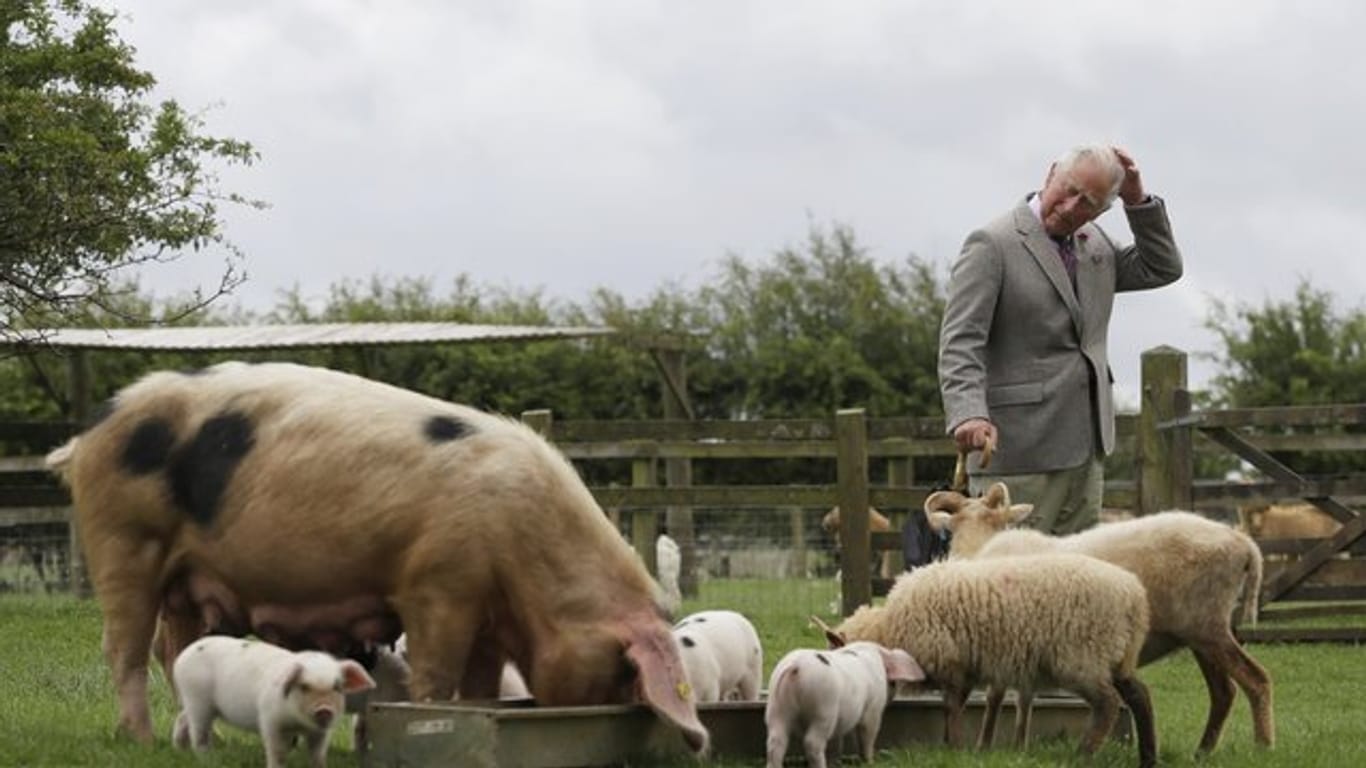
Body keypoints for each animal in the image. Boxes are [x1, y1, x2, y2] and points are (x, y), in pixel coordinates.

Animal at [42, 358, 704, 748]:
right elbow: (438, 674)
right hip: (122, 541)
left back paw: (204, 744)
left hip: (186, 574)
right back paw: (140, 740)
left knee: (173, 649)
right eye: (624, 669)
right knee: (125, 648)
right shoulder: (437, 584)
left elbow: (480, 681)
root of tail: (88, 435)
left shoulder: (486, 611)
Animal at [764, 636, 923, 765]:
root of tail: (795, 666)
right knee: (812, 743)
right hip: (823, 709)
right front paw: (870, 761)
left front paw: (837, 761)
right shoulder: (873, 708)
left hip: (776, 707)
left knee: (775, 743)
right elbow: (868, 731)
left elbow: (838, 741)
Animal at [814, 549, 1158, 765]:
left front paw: (954, 748)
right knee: (1139, 695)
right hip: (1115, 655)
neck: (889, 628)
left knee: (1109, 704)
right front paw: (958, 746)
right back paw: (1148, 756)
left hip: (1081, 657)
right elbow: (958, 707)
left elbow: (951, 707)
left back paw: (1083, 754)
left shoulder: (952, 664)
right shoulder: (965, 667)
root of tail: (1134, 595)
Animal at [923, 481, 1273, 748]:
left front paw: (984, 746)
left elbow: (996, 697)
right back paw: (1203, 752)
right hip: (1198, 634)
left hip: (1207, 627)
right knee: (1224, 693)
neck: (980, 549)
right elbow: (1023, 698)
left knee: (1256, 681)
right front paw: (1019, 746)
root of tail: (1243, 543)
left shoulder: (1004, 640)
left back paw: (1262, 747)